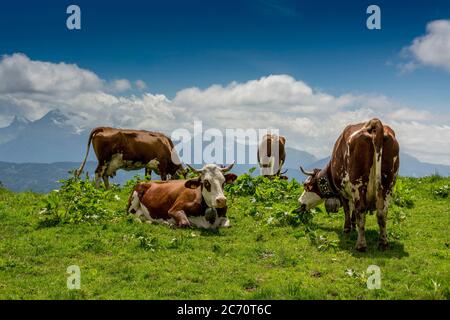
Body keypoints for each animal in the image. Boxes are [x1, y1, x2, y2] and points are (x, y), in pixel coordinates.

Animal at [298, 119, 400, 251]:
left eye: (306, 185)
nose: (299, 202)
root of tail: (374, 123)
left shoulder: (343, 191)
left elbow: (347, 209)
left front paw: (347, 228)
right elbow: (353, 211)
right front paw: (352, 225)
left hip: (358, 183)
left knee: (361, 210)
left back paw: (361, 245)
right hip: (388, 183)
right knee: (382, 212)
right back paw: (383, 243)